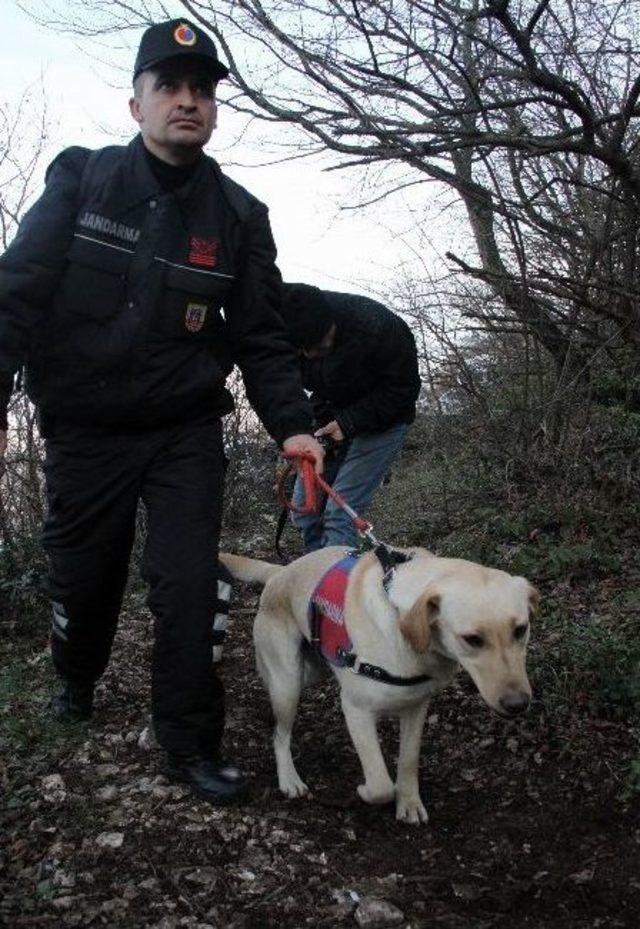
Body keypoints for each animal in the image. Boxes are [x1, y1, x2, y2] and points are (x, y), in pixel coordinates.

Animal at [221, 548, 536, 824]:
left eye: (521, 630)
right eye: (472, 639)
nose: (518, 704)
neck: (400, 616)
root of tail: (280, 572)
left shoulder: (416, 707)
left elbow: (408, 761)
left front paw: (408, 803)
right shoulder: (356, 710)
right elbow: (380, 783)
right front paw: (366, 792)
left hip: (313, 670)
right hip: (288, 686)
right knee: (279, 734)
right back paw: (289, 778)